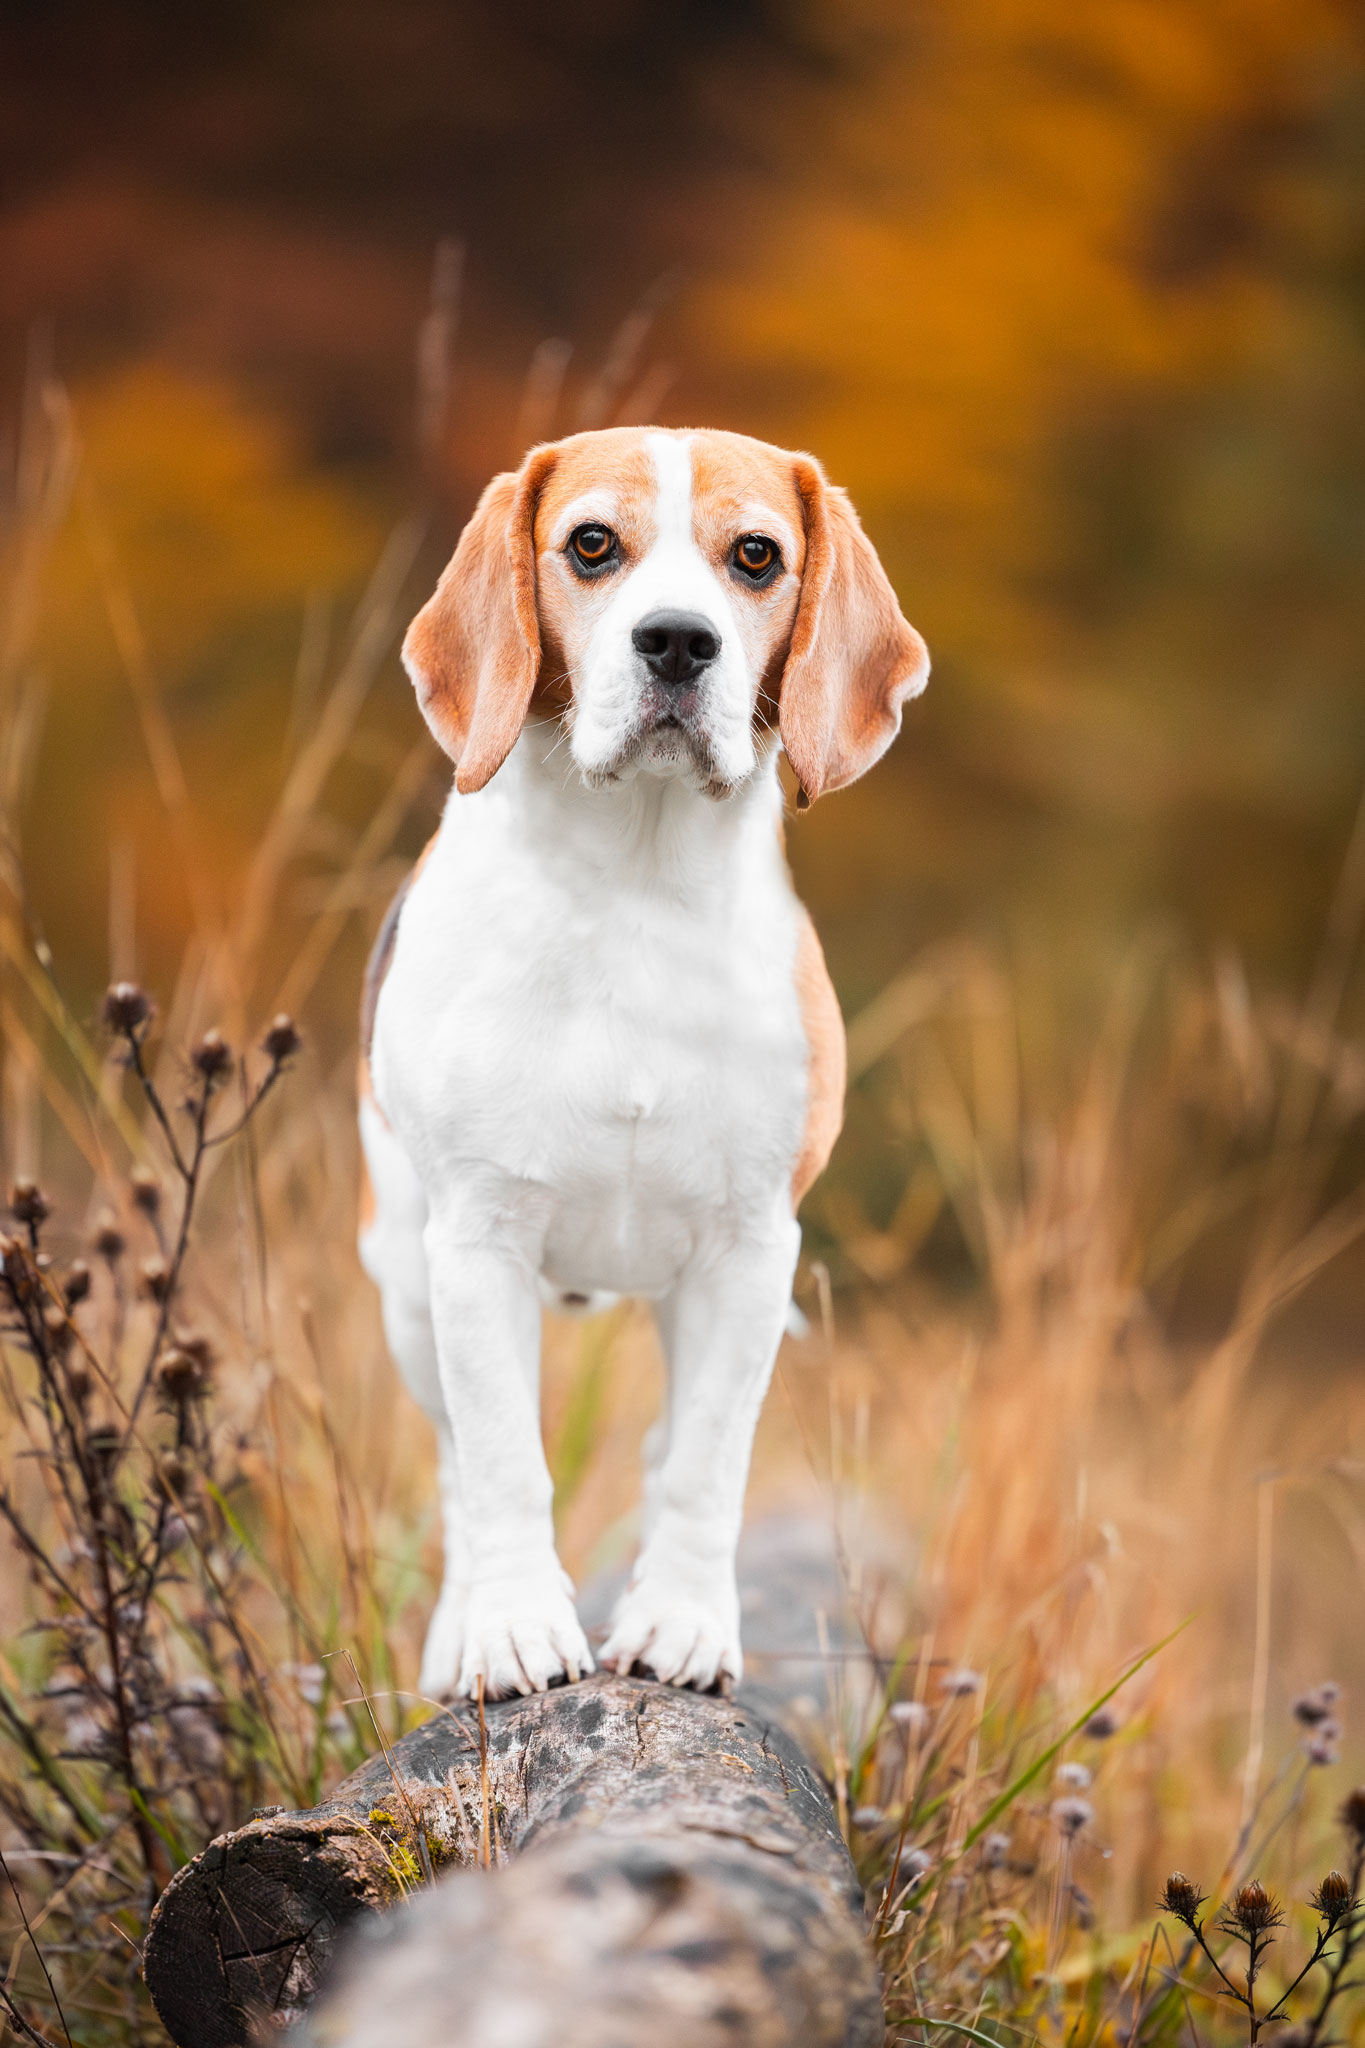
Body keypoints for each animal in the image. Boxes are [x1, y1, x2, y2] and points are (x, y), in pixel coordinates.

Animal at [360, 428, 929, 1695]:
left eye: (756, 556)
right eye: (591, 545)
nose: (677, 639)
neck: (635, 884)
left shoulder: (749, 1251)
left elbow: (707, 1458)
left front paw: (680, 1626)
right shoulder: (476, 1243)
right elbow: (503, 1458)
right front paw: (517, 1629)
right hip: (408, 1284)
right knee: (456, 1464)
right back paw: (462, 1625)